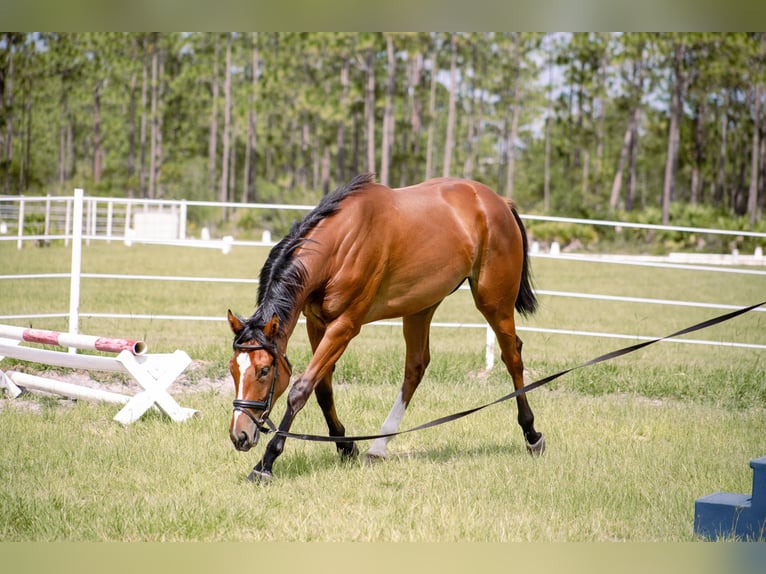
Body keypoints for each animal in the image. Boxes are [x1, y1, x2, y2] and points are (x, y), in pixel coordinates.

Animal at [228, 173, 544, 484]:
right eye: (233, 369)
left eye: (264, 371)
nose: (239, 434)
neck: (340, 243)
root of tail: (499, 202)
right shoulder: (317, 324)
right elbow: (323, 389)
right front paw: (345, 445)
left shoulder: (344, 327)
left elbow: (301, 389)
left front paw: (266, 463)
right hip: (421, 306)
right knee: (415, 367)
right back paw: (378, 446)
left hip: (494, 303)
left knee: (512, 356)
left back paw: (532, 435)